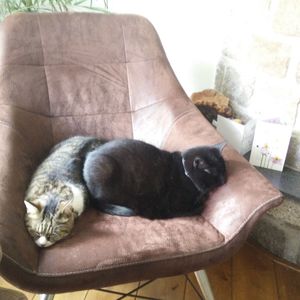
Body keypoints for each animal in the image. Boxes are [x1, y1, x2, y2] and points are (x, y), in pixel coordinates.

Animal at [83, 139, 226, 219]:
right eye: (212, 171)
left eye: (223, 167)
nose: (224, 179)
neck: (186, 175)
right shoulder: (176, 207)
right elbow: (199, 208)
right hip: (105, 168)